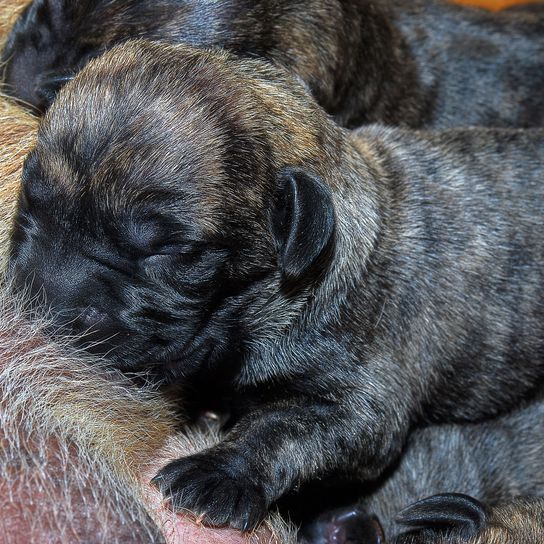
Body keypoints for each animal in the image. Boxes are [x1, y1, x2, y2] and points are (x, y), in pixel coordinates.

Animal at [7, 41, 544, 532]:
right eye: (32, 200)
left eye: (171, 253)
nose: (47, 296)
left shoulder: (363, 404)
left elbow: (281, 427)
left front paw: (217, 474)